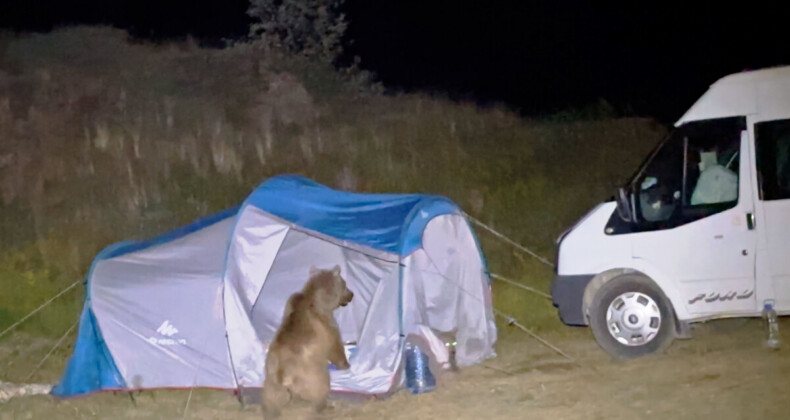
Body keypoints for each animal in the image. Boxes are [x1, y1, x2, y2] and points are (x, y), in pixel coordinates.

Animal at [262, 264, 354, 418]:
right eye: (344, 284)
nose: (352, 294)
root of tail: (284, 375)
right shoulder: (326, 322)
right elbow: (335, 346)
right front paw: (345, 364)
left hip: (271, 380)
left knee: (272, 399)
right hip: (312, 374)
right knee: (321, 386)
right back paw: (324, 406)